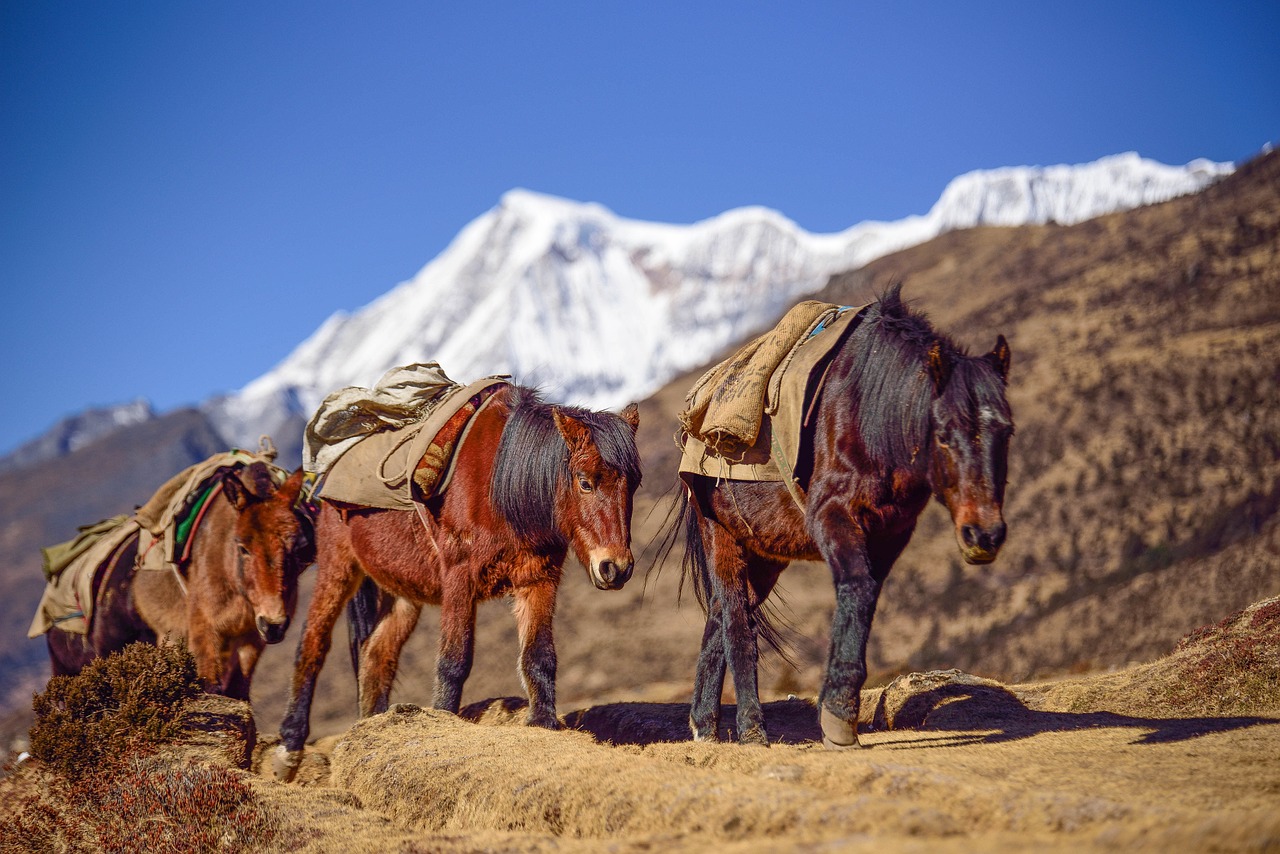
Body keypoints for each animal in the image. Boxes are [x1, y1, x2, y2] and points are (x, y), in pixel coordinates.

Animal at [46, 463, 316, 706]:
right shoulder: (204, 632)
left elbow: (238, 695)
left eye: (300, 546)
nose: (273, 624)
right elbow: (211, 687)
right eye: (242, 547)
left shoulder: (250, 641)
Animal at [276, 386, 645, 783]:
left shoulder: (539, 579)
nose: (615, 568)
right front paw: (443, 721)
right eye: (585, 481)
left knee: (376, 654)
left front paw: (543, 724)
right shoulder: (459, 578)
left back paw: (371, 730)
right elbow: (454, 661)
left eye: (634, 484)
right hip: (338, 568)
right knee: (312, 644)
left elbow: (539, 655)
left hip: (401, 593)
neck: (502, 485)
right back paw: (289, 749)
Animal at [670, 285, 1008, 747]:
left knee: (720, 616)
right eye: (943, 434)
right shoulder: (832, 516)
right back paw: (752, 728)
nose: (984, 535)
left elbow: (865, 598)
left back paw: (704, 726)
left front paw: (840, 709)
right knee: (737, 623)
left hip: (762, 554)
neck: (871, 413)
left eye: (1006, 431)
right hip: (720, 535)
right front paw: (837, 718)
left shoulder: (890, 534)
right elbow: (856, 586)